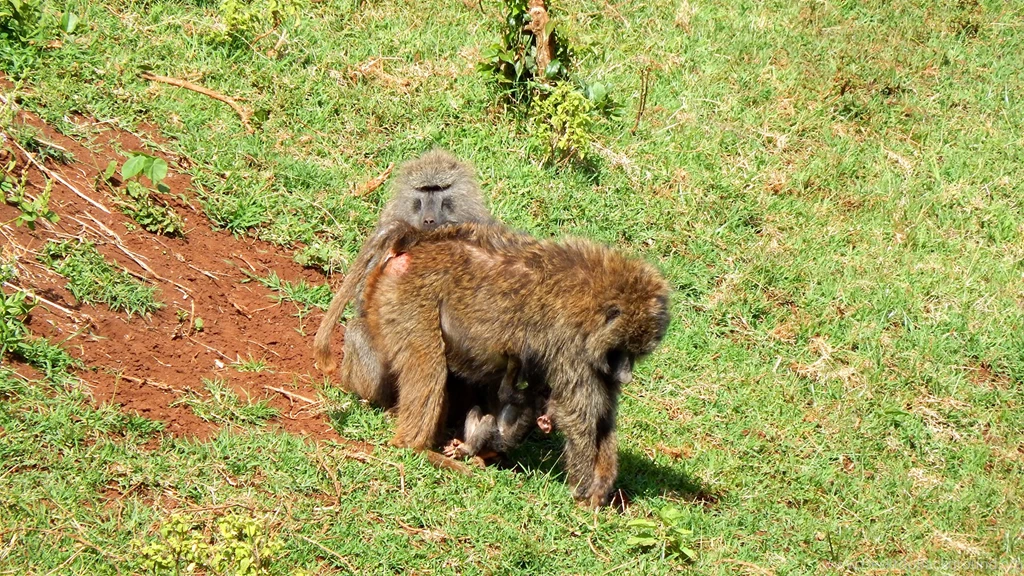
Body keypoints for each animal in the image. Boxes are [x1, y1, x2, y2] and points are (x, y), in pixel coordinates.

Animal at [358, 221, 671, 508]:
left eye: (634, 353)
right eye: (622, 351)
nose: (626, 377)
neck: (592, 298)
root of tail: (419, 245)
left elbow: (603, 414)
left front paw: (601, 484)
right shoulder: (569, 343)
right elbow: (577, 415)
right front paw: (583, 489)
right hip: (410, 295)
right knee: (428, 365)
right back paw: (416, 447)